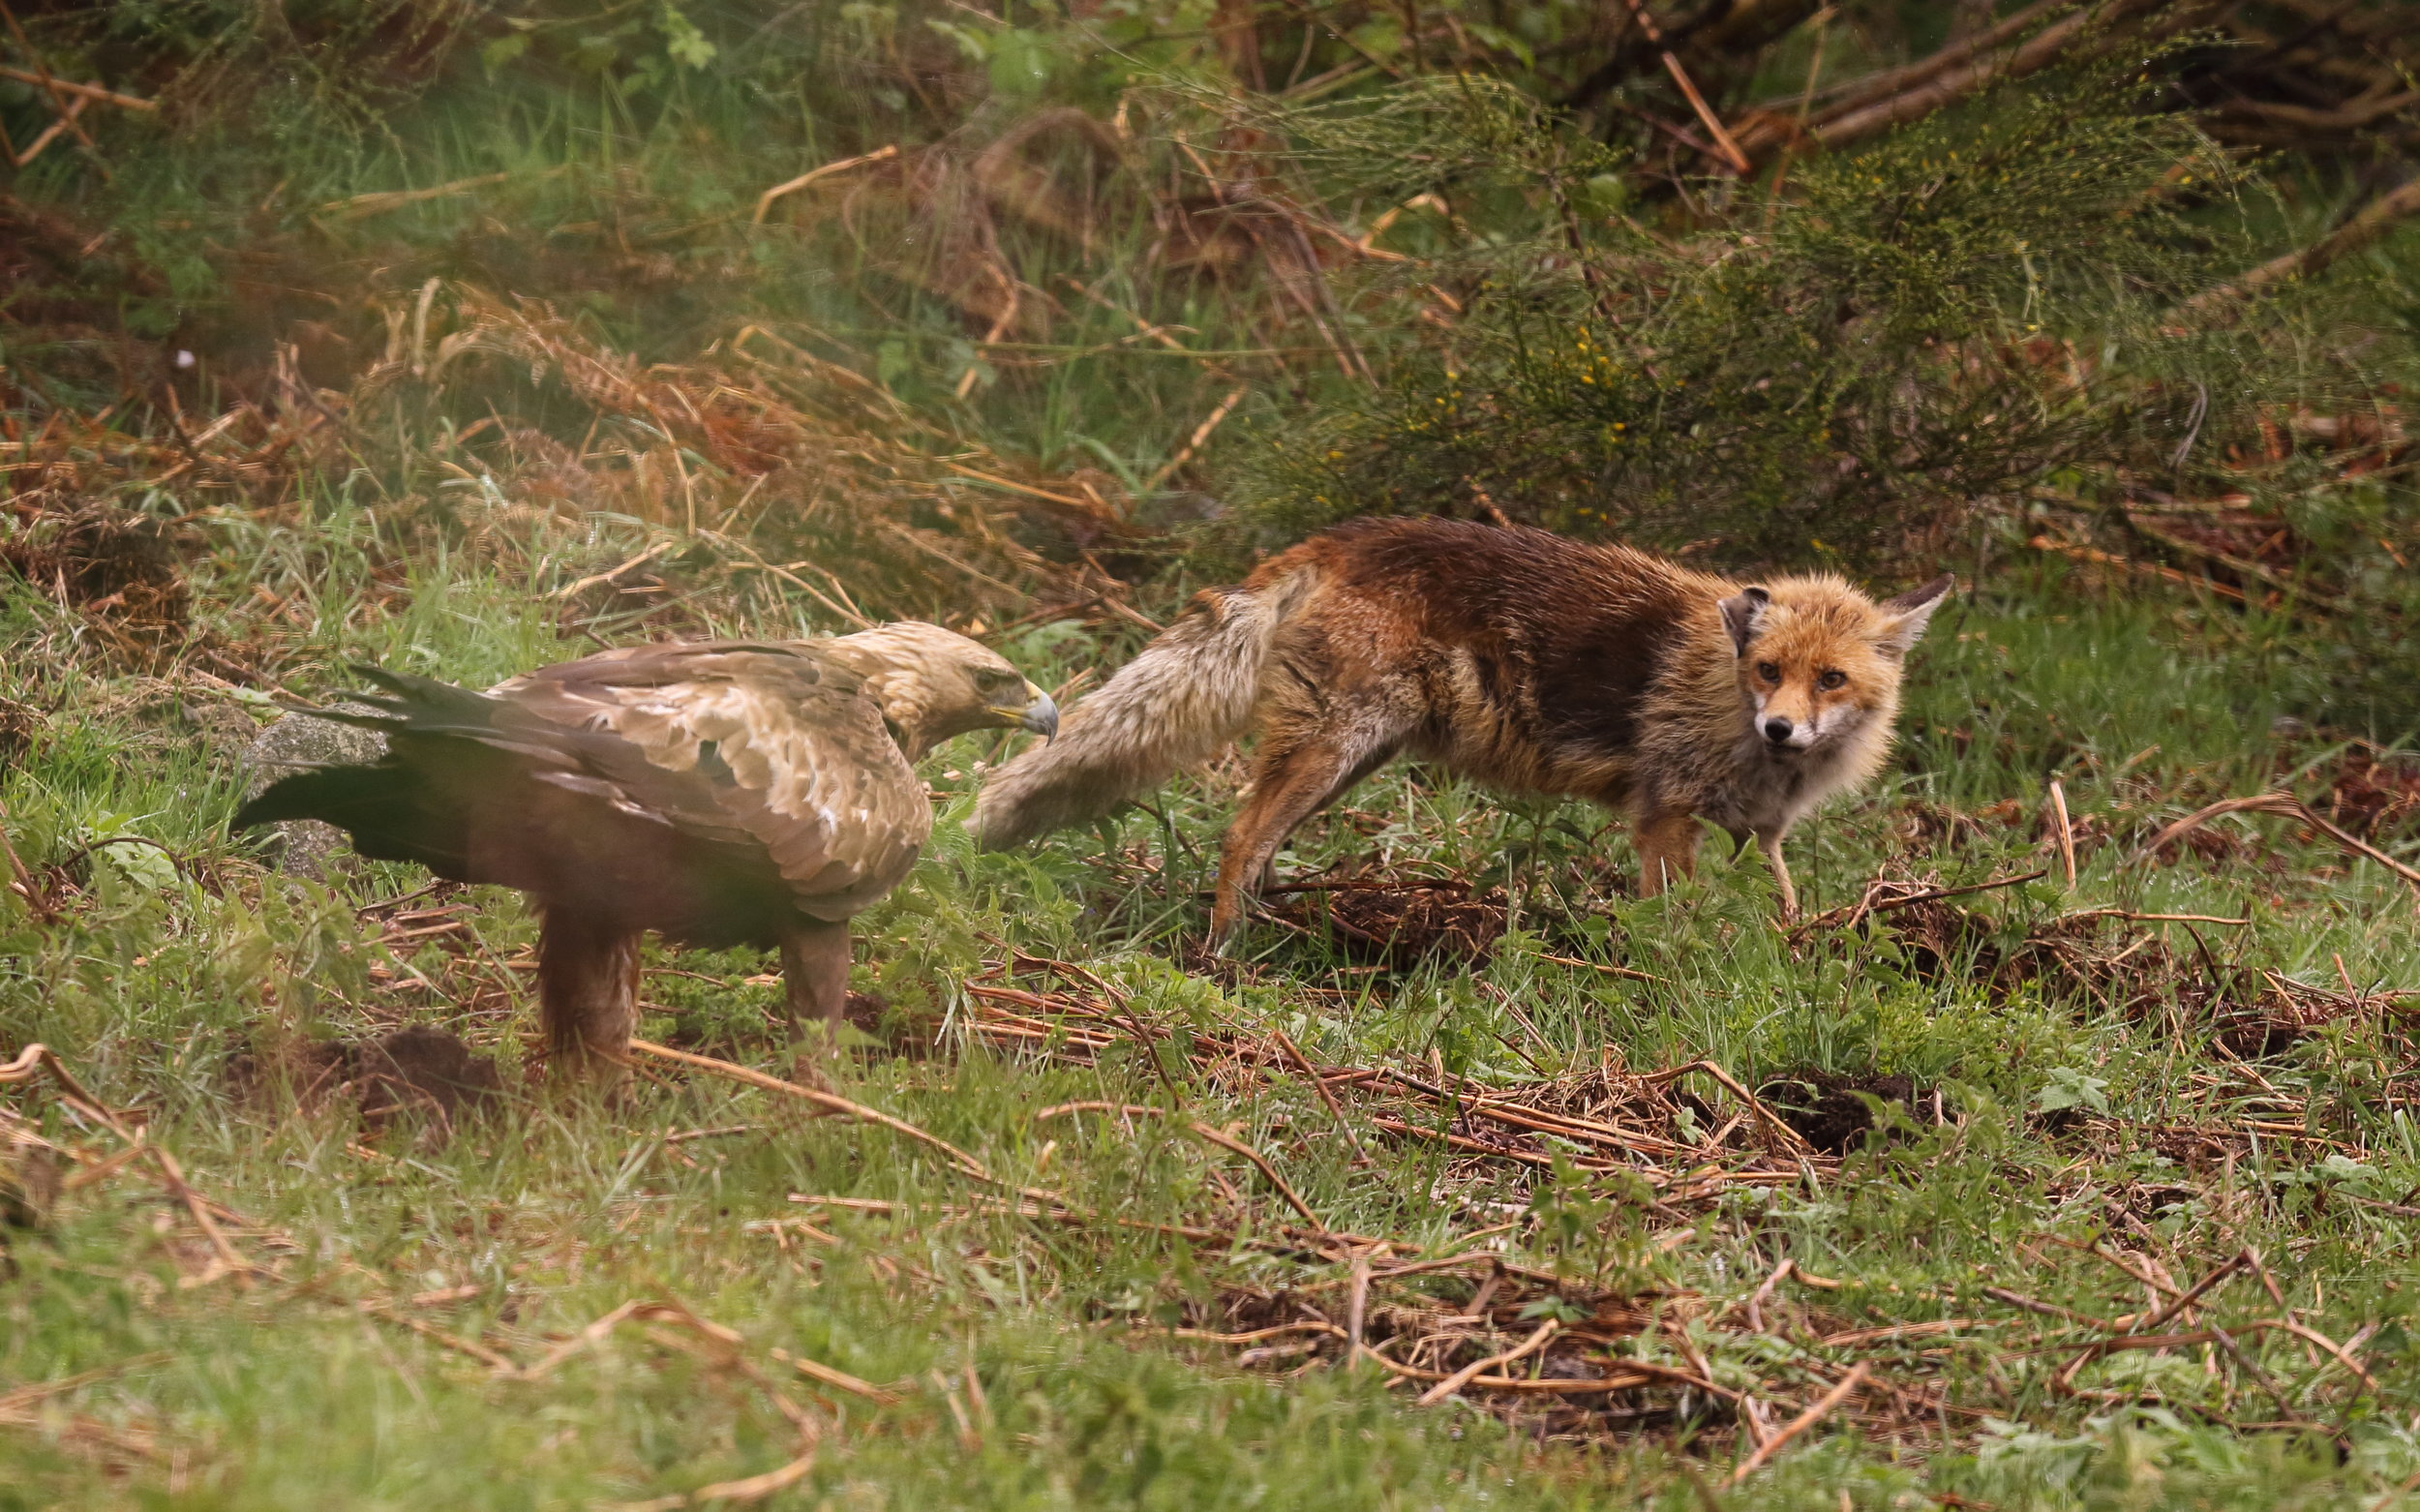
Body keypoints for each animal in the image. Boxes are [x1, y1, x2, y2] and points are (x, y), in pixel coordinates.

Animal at [973, 525, 1936, 938]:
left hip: (1355, 757)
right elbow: (1672, 920)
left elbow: (1785, 906)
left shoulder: (1760, 833)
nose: (1780, 729)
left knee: (1258, 845)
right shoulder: (1664, 815)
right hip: (1335, 744)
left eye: (1831, 678)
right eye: (1768, 670)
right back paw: (1226, 961)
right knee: (1239, 837)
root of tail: (1352, 534)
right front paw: (1670, 977)